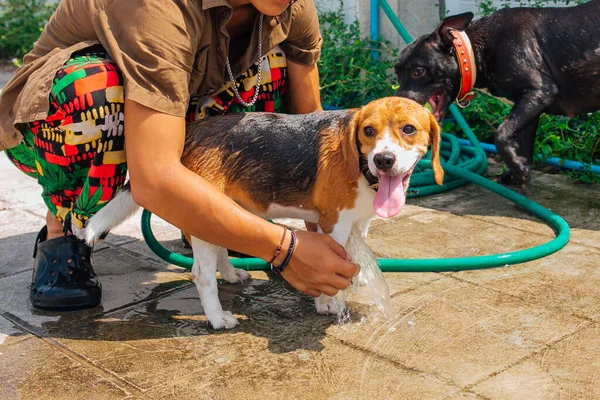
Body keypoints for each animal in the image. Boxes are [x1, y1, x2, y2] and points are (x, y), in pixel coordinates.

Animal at [79, 96, 442, 328]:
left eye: (408, 129)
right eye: (368, 131)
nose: (383, 159)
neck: (364, 169)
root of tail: (190, 133)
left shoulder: (358, 222)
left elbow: (354, 259)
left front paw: (353, 283)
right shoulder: (333, 225)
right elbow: (336, 268)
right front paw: (330, 304)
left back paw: (231, 274)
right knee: (202, 275)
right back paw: (217, 319)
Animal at [396, 0, 596, 184]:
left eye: (418, 71)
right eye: (396, 72)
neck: (473, 53)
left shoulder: (539, 92)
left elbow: (500, 134)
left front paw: (518, 167)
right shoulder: (530, 105)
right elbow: (523, 143)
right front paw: (518, 171)